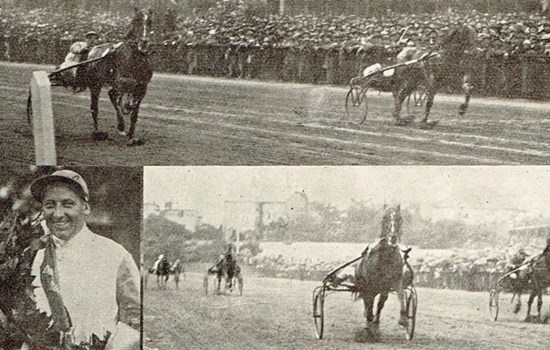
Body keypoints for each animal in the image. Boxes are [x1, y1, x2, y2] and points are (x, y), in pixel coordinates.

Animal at [356, 205, 408, 342]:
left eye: (400, 218)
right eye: (384, 217)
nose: (393, 237)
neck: (386, 258)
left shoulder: (394, 280)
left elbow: (400, 296)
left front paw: (403, 319)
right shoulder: (369, 285)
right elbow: (369, 303)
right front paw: (369, 323)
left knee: (378, 303)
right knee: (368, 302)